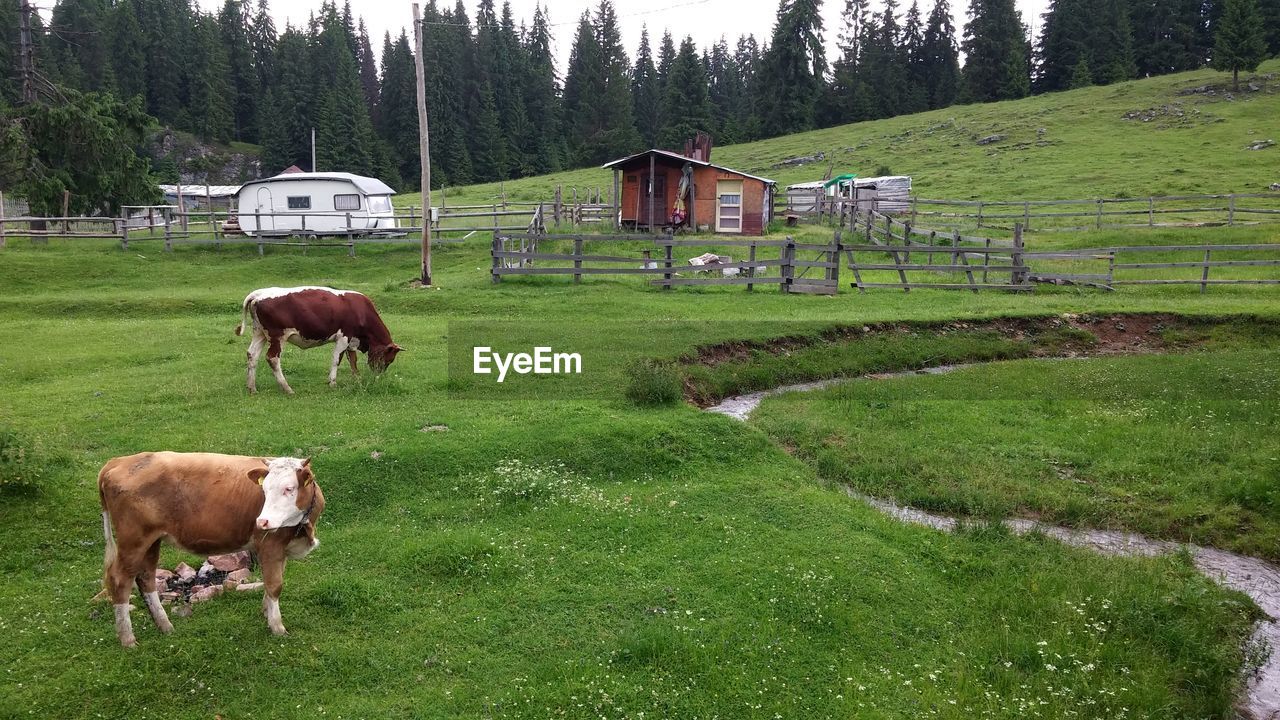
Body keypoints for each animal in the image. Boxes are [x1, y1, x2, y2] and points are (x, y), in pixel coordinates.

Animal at [98, 448, 325, 645]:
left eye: (289, 488)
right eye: (265, 489)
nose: (262, 521)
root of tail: (119, 461)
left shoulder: (281, 549)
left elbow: (272, 584)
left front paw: (266, 612)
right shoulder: (270, 545)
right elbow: (275, 585)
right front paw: (277, 627)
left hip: (151, 541)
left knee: (146, 578)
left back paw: (165, 626)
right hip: (133, 540)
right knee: (120, 580)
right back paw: (128, 639)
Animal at [232, 285, 401, 394]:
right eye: (388, 359)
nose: (378, 376)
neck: (360, 310)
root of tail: (258, 294)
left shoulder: (352, 340)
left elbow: (352, 360)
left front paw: (357, 380)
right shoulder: (344, 337)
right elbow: (336, 360)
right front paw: (332, 382)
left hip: (259, 333)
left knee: (252, 355)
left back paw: (252, 388)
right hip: (277, 337)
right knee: (272, 358)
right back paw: (287, 388)